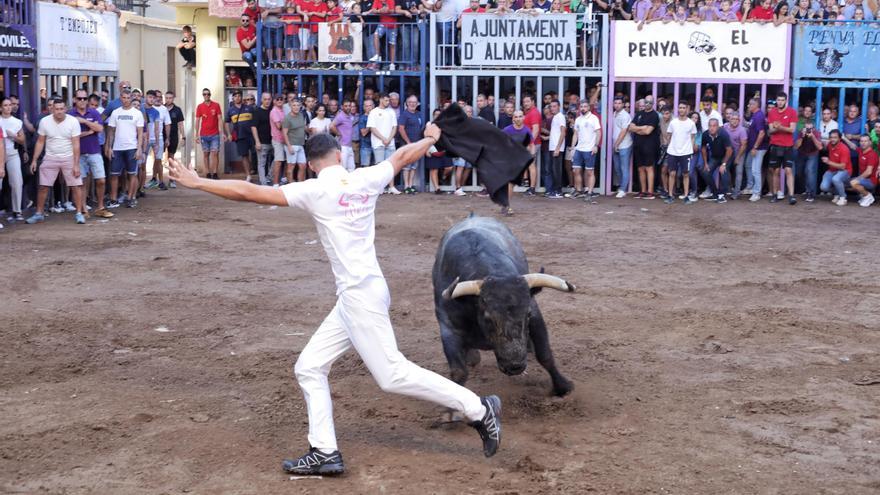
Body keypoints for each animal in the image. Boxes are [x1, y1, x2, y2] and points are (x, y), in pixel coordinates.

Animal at [430, 215, 576, 398]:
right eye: (488, 318)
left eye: (527, 314)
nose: (515, 366)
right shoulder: (449, 329)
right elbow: (458, 372)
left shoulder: (536, 315)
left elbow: (545, 356)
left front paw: (563, 387)